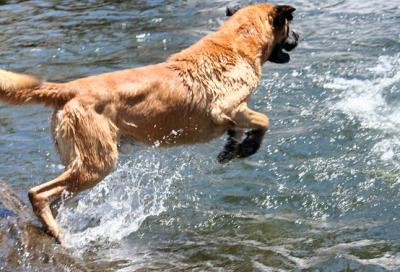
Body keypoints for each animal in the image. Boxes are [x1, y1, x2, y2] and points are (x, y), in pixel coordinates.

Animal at [0, 2, 296, 244]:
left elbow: (237, 129)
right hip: (97, 164)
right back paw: (57, 232)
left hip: (79, 163)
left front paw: (233, 148)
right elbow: (263, 120)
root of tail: (69, 89)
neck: (238, 41)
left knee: (54, 197)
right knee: (38, 193)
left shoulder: (232, 113)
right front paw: (249, 146)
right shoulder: (227, 107)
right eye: (290, 27)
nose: (299, 37)